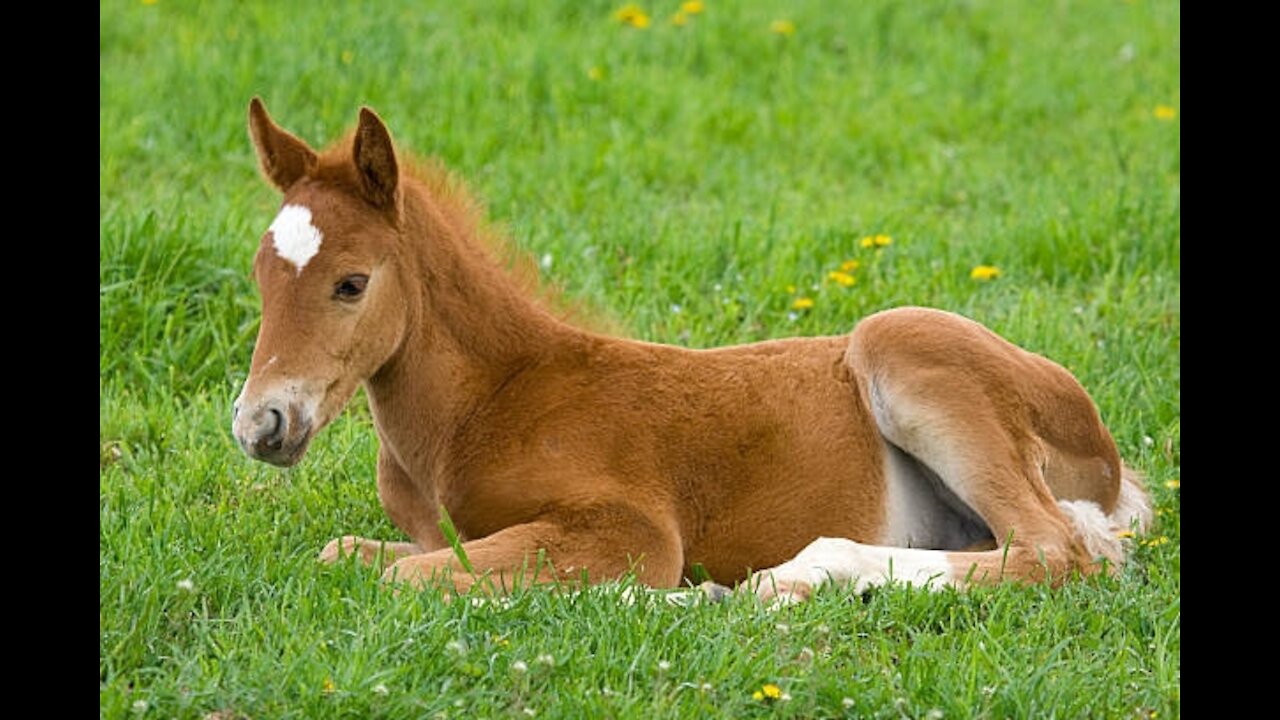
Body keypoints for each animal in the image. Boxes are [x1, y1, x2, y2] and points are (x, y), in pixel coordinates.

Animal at [230, 96, 1152, 599]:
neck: (484, 406)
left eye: (351, 283)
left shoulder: (630, 530)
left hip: (901, 341)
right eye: (260, 274)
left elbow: (405, 578)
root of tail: (1111, 463)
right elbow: (347, 555)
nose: (259, 424)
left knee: (1056, 551)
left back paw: (791, 576)